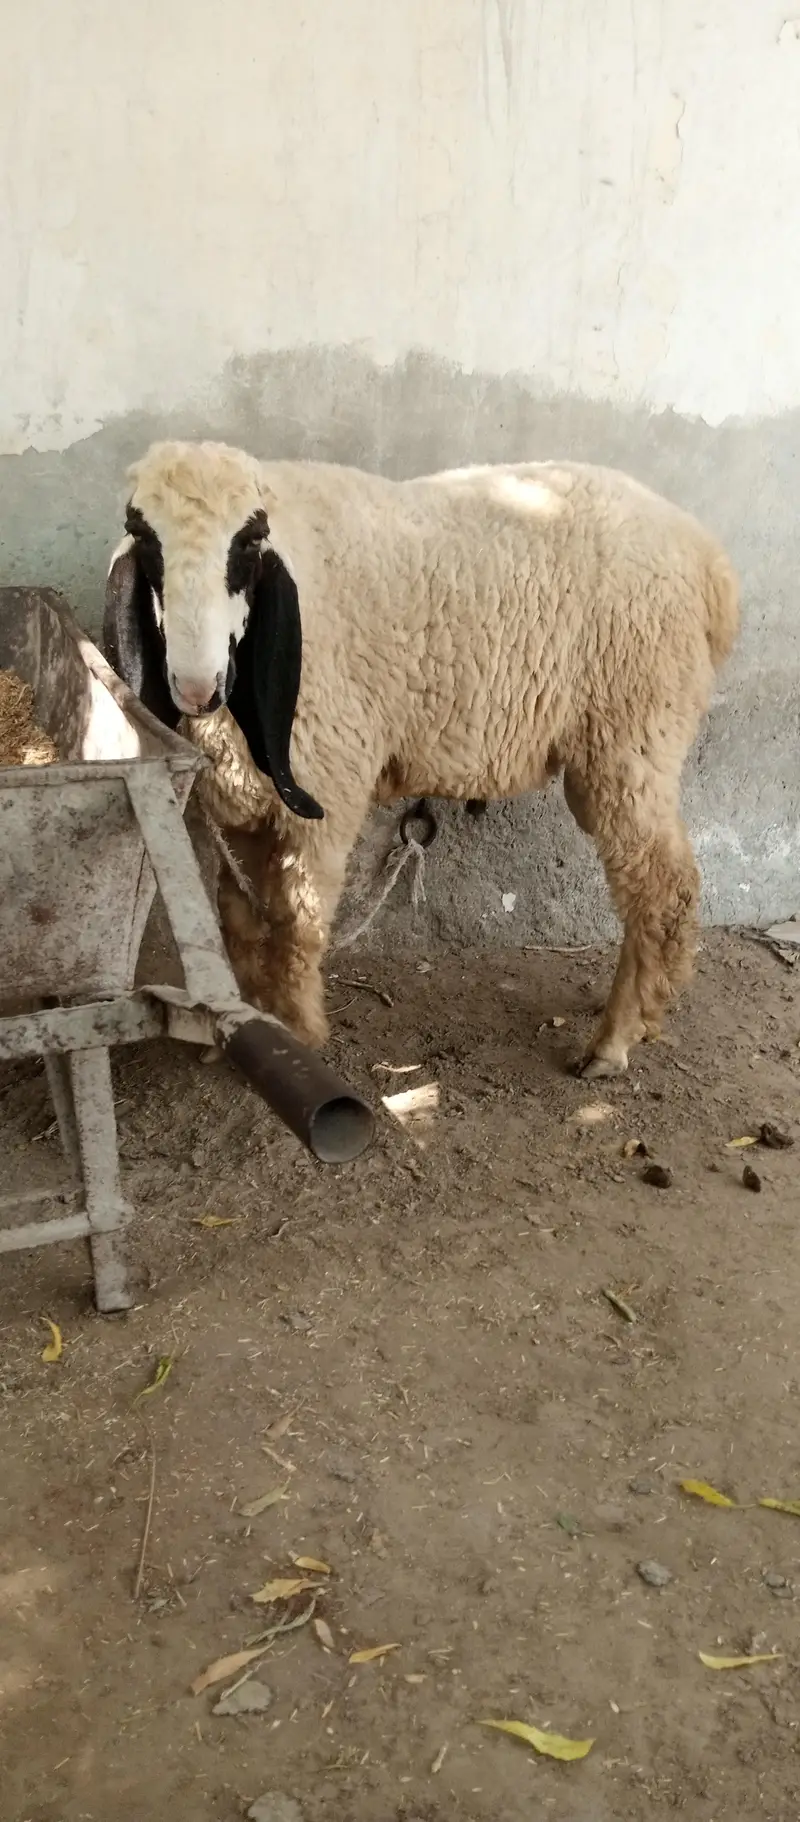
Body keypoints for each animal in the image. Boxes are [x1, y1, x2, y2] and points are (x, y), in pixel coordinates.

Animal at [103, 439, 739, 1078]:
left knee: (664, 886)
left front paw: (298, 1035)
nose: (194, 687)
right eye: (142, 534)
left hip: (633, 735)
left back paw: (614, 1039)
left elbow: (295, 923)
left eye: (250, 540)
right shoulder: (245, 804)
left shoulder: (326, 786)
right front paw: (244, 1027)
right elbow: (239, 919)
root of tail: (710, 561)